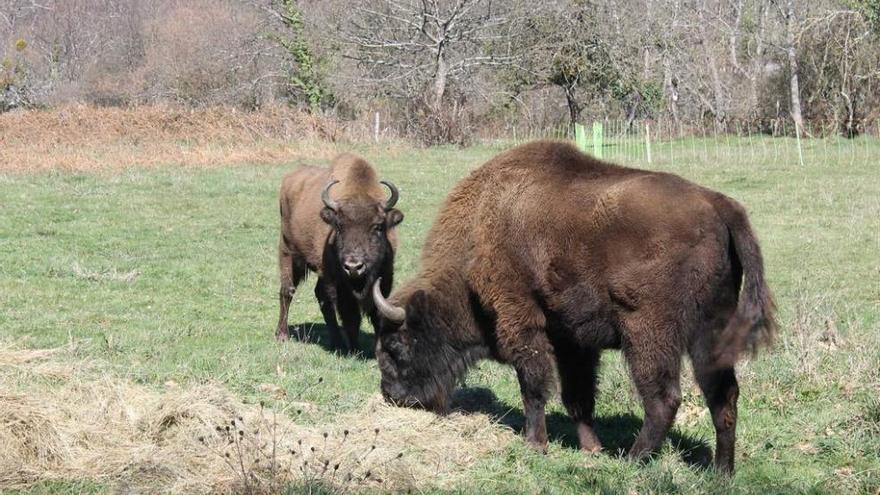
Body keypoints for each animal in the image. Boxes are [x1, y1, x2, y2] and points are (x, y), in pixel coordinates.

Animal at [276, 155, 404, 352]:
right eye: (339, 226)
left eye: (377, 226)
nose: (354, 267)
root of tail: (290, 178)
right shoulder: (340, 284)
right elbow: (351, 317)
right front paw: (355, 349)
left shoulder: (385, 277)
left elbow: (377, 312)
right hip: (288, 252)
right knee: (287, 291)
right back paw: (282, 335)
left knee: (321, 297)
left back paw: (336, 341)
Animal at [372, 140, 776, 472]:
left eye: (396, 346)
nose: (392, 396)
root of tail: (720, 205)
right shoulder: (574, 341)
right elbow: (577, 397)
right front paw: (591, 448)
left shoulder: (521, 320)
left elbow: (534, 386)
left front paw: (536, 445)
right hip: (712, 330)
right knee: (723, 395)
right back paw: (721, 471)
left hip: (647, 332)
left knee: (664, 398)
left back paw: (631, 461)